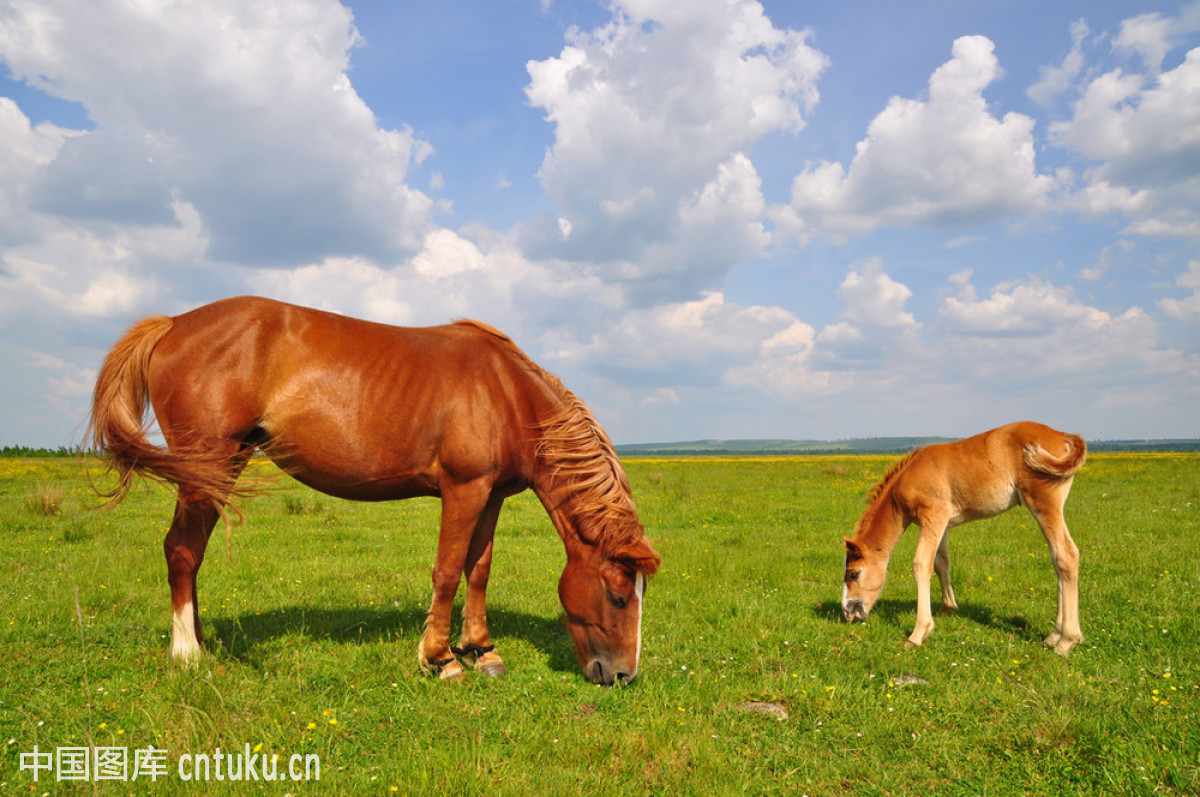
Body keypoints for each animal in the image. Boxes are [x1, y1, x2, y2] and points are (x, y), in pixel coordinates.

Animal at [88, 295, 662, 681]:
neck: (507, 394)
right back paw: (188, 654)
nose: (622, 675)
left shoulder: (491, 495)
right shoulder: (464, 489)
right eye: (617, 595)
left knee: (191, 553)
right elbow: (447, 571)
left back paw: (201, 640)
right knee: (182, 551)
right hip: (207, 466)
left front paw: (482, 650)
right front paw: (440, 658)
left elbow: (478, 571)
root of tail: (172, 324)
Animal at [844, 420, 1089, 657]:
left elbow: (921, 565)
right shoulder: (942, 523)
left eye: (854, 573)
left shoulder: (933, 515)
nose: (848, 612)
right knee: (1056, 559)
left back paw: (1067, 641)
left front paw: (918, 633)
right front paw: (947, 608)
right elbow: (941, 563)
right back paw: (1053, 636)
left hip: (1042, 501)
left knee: (1066, 554)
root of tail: (1063, 435)